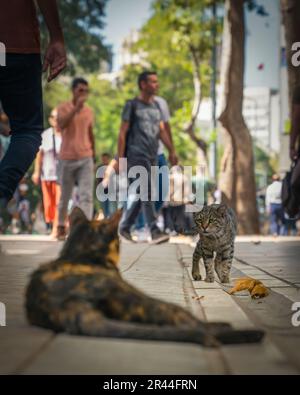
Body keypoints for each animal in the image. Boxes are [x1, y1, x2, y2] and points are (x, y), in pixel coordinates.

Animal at [25, 209, 264, 348]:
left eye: (211, 220)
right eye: (200, 220)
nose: (203, 226)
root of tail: (67, 304)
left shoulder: (227, 248)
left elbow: (225, 264)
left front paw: (223, 277)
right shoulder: (206, 245)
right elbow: (207, 262)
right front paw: (211, 277)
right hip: (151, 302)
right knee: (193, 320)